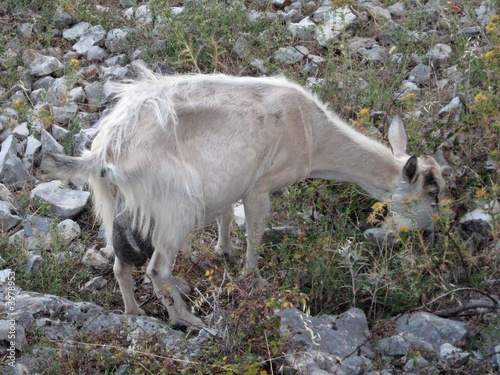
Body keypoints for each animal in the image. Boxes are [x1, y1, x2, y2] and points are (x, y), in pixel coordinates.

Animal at [43, 66, 450, 328]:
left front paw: (225, 250)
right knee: (157, 268)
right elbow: (256, 232)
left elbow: (225, 216)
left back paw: (134, 314)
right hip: (177, 207)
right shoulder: (259, 186)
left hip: (120, 206)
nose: (431, 236)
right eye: (431, 195)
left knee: (120, 264)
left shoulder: (230, 182)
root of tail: (106, 149)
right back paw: (187, 320)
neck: (312, 133)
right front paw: (254, 277)